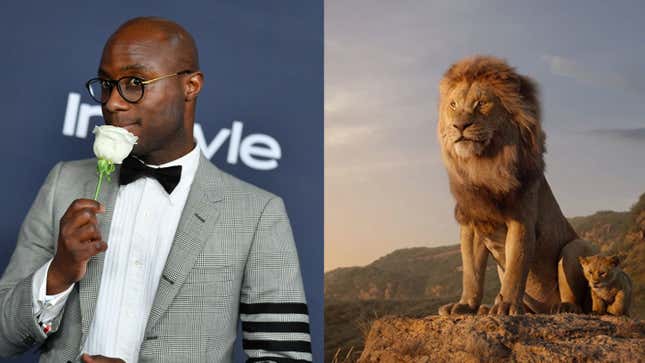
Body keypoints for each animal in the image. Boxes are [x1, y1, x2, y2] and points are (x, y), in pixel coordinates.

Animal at [436, 56, 596, 316]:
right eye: (453, 105)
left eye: (481, 103)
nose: (459, 126)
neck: (484, 165)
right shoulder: (472, 224)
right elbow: (471, 273)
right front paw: (466, 305)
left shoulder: (521, 220)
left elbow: (516, 267)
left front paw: (507, 305)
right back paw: (489, 308)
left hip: (575, 247)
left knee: (578, 302)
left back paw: (562, 307)